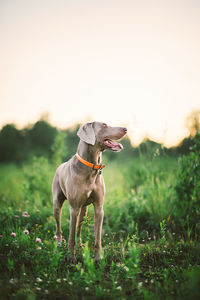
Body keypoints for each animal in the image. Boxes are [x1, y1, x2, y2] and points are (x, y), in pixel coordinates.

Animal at [51, 121, 126, 262]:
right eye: (104, 125)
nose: (126, 129)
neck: (92, 167)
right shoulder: (74, 208)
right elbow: (71, 237)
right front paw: (71, 258)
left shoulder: (99, 208)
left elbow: (97, 238)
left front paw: (98, 259)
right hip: (57, 203)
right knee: (59, 228)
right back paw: (58, 245)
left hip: (84, 210)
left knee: (79, 228)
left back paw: (81, 245)